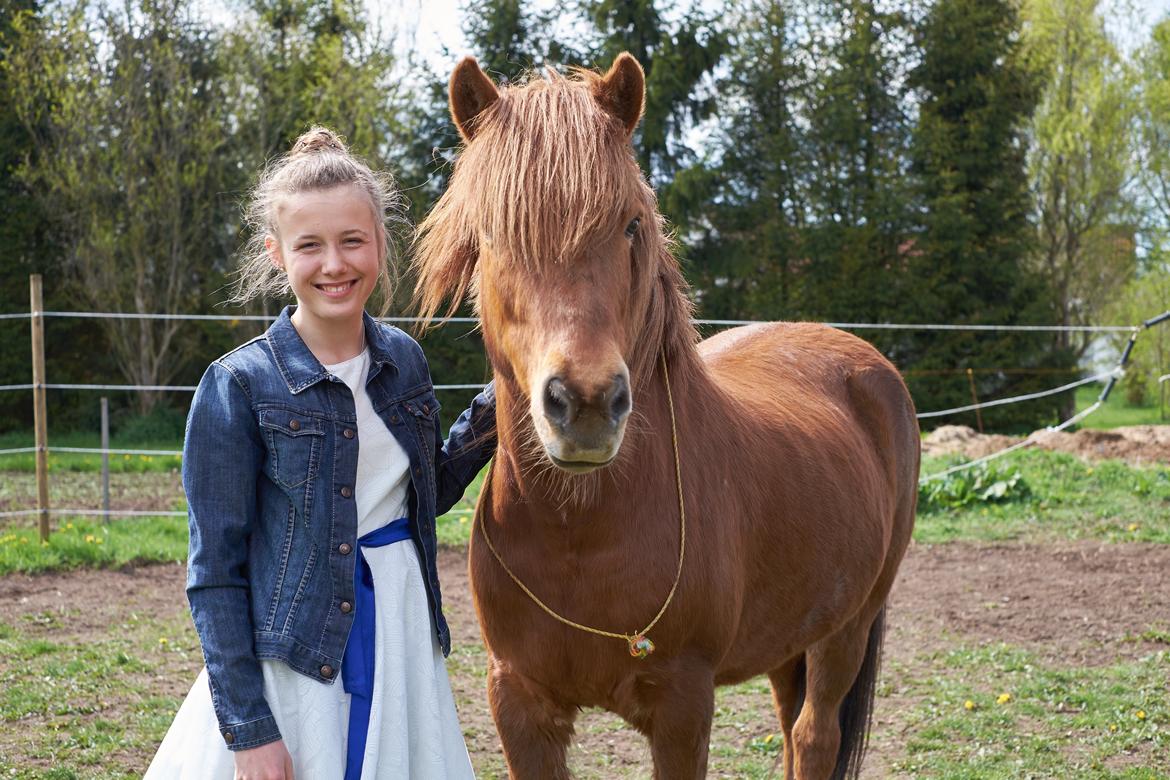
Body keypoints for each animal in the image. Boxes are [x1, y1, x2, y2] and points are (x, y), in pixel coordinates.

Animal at [416, 54, 917, 780]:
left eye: (631, 225)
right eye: (491, 233)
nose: (587, 404)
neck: (580, 535)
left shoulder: (683, 705)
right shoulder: (519, 701)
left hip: (846, 627)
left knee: (815, 736)